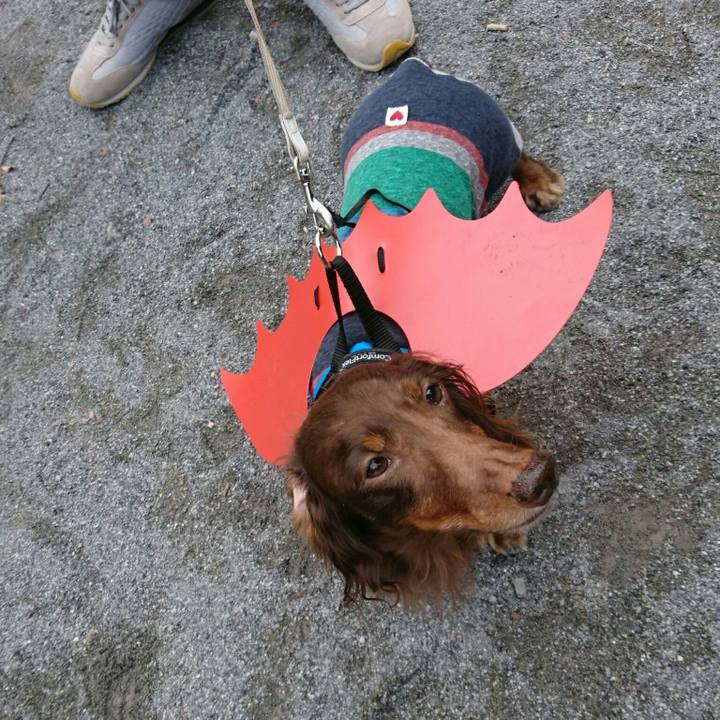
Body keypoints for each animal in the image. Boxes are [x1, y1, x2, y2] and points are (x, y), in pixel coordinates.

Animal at [286, 59, 563, 605]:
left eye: (433, 393)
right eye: (375, 466)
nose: (538, 478)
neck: (356, 346)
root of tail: (411, 71)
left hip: (494, 132)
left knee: (516, 155)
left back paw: (539, 181)